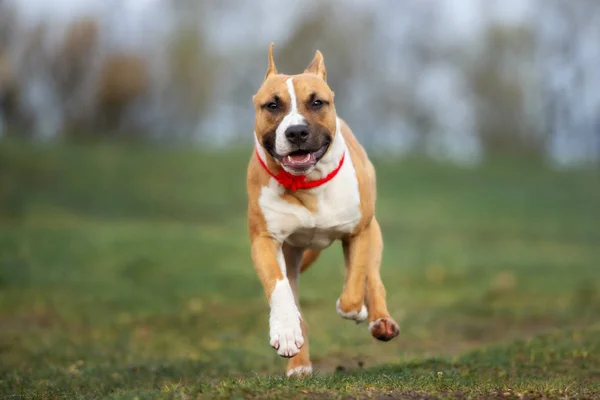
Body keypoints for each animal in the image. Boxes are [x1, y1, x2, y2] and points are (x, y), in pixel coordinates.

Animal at [246, 44, 396, 378]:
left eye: (317, 102)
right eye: (272, 105)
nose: (297, 132)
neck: (307, 184)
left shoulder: (358, 231)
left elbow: (353, 289)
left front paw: (359, 310)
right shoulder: (264, 239)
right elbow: (278, 287)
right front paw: (285, 332)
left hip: (374, 230)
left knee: (373, 277)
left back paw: (380, 320)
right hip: (291, 257)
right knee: (294, 301)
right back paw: (298, 363)